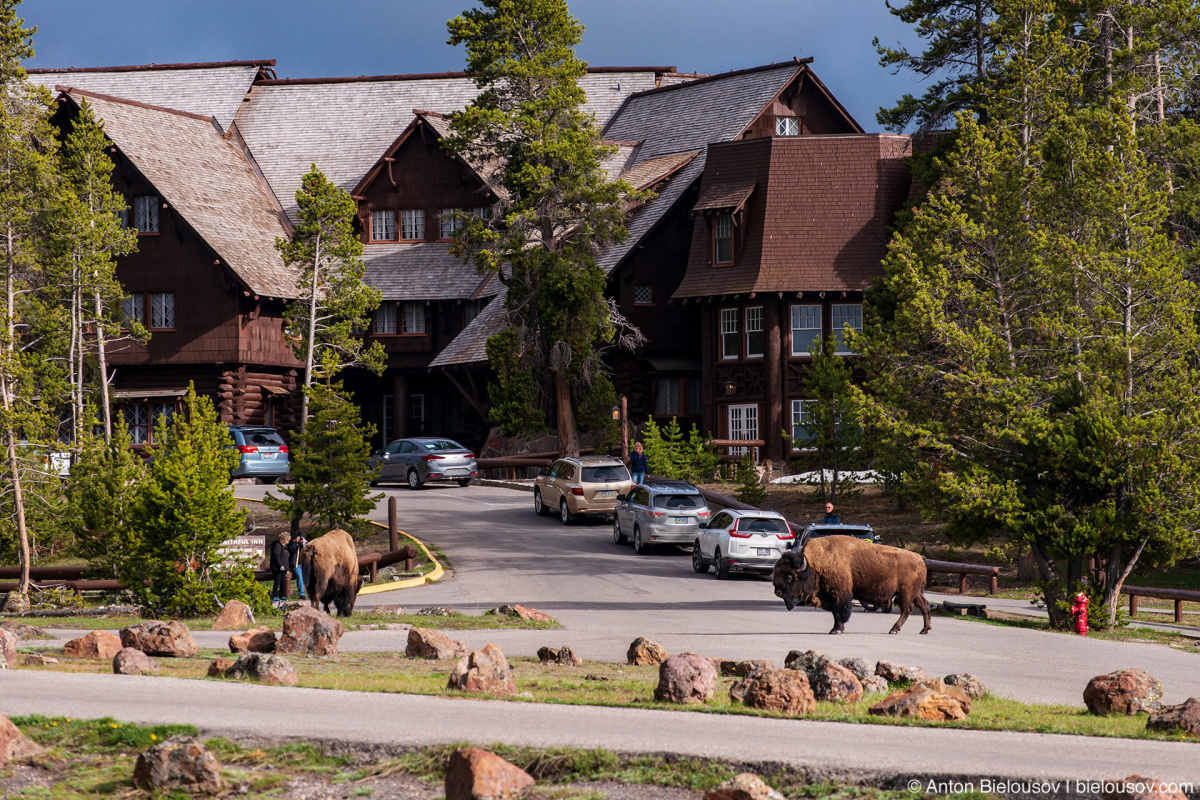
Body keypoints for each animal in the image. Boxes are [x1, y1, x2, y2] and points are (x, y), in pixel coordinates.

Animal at [772, 534, 931, 633]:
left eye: (789, 576)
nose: (777, 591)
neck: (814, 565)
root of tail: (920, 559)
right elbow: (835, 612)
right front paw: (834, 629)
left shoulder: (840, 594)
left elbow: (839, 611)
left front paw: (837, 630)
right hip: (916, 592)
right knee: (925, 606)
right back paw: (924, 630)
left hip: (906, 592)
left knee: (907, 609)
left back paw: (894, 630)